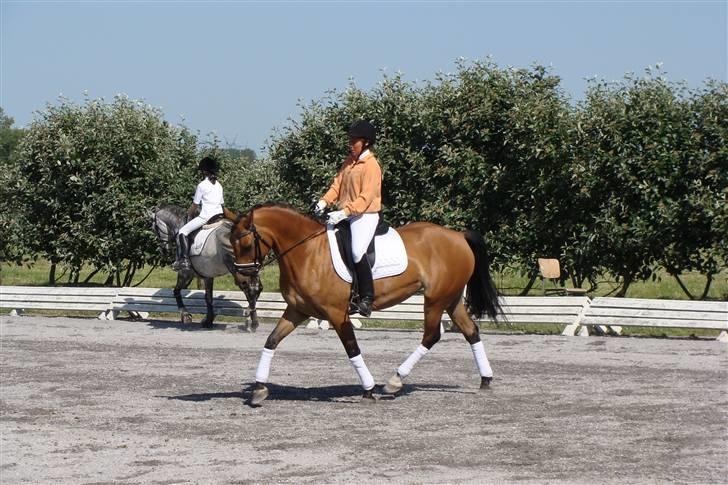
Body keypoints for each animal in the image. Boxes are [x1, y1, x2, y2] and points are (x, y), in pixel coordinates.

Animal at [230, 202, 504, 402]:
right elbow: (272, 340)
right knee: (471, 331)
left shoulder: (337, 314)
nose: (243, 280)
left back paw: (395, 381)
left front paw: (369, 388)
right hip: (451, 298)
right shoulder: (297, 310)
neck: (306, 252)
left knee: (431, 336)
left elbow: (352, 349)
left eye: (245, 243)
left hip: (435, 299)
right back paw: (486, 379)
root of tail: (458, 235)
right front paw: (259, 388)